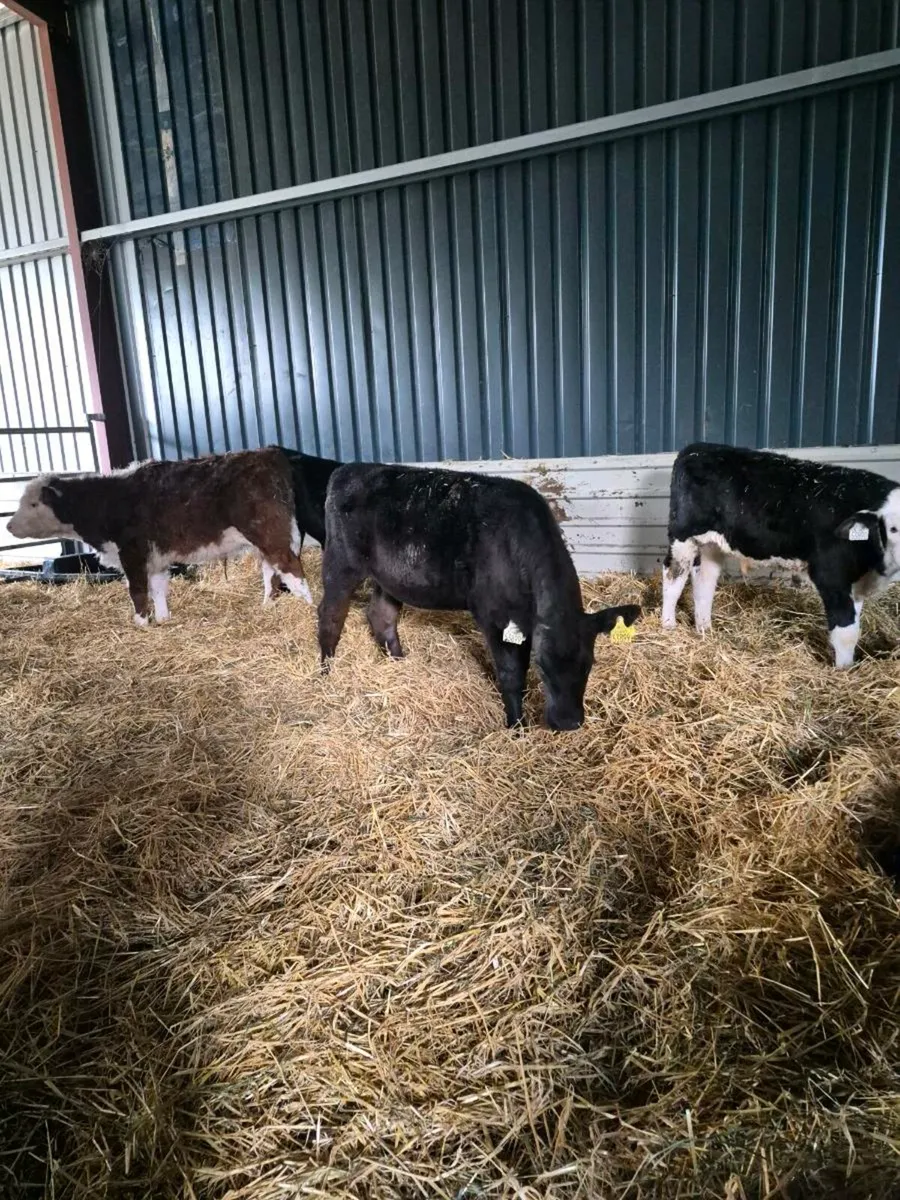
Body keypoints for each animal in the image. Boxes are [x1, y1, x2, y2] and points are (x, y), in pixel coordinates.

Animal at [6, 447, 315, 626]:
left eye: (33, 504)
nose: (8, 526)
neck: (107, 501)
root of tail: (269, 453)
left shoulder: (132, 552)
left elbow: (138, 591)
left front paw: (141, 625)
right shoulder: (155, 559)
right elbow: (158, 589)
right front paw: (163, 621)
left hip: (268, 531)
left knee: (291, 569)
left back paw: (310, 607)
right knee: (272, 572)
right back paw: (267, 607)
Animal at [316, 463, 641, 730]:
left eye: (589, 664)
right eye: (543, 665)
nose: (569, 722)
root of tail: (347, 469)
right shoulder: (494, 615)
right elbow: (511, 675)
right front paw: (516, 726)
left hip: (391, 577)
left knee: (381, 616)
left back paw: (399, 662)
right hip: (341, 562)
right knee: (330, 613)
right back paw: (326, 671)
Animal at [661, 442, 900, 668]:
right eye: (893, 529)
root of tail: (697, 448)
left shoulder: (856, 582)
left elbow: (854, 625)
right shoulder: (830, 574)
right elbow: (845, 632)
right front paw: (843, 672)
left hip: (712, 543)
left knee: (704, 582)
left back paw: (705, 630)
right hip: (683, 535)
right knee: (673, 576)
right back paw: (668, 626)